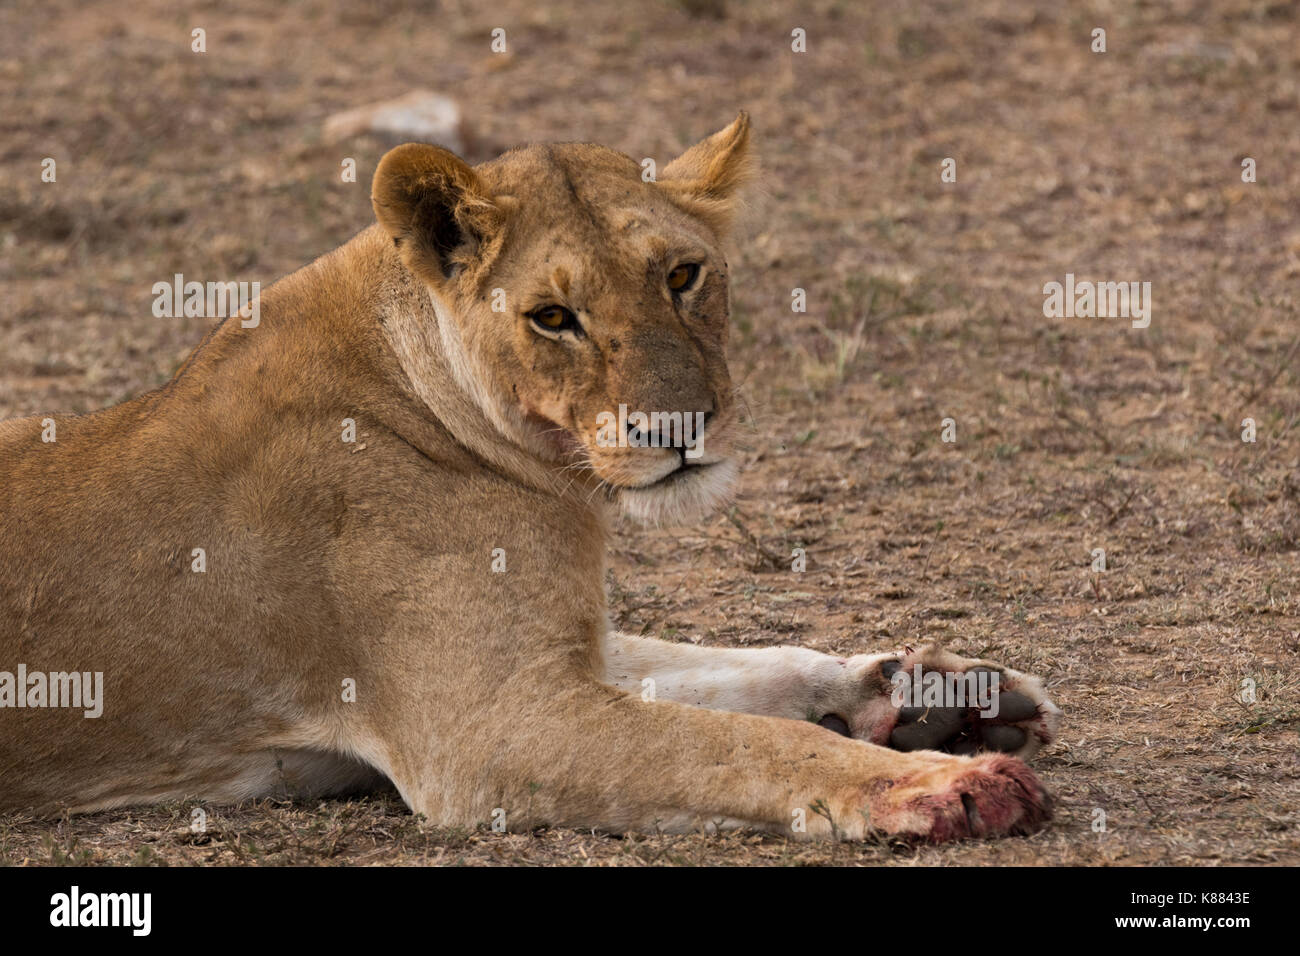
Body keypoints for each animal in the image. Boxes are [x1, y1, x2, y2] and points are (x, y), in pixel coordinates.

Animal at [0, 114, 1060, 841]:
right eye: (554, 318)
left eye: (682, 275)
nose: (679, 427)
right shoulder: (485, 729)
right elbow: (732, 741)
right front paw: (929, 781)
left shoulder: (555, 651)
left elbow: (730, 670)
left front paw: (936, 699)